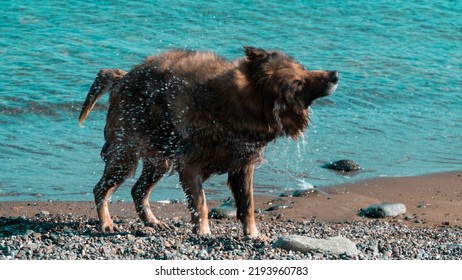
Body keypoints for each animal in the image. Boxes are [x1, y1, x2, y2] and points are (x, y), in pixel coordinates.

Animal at [78, 46, 340, 236]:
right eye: (298, 83)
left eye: (303, 68)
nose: (335, 75)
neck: (242, 105)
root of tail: (123, 77)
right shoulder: (189, 163)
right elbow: (201, 203)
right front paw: (203, 232)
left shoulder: (243, 164)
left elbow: (248, 205)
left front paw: (253, 235)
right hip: (126, 152)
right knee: (102, 188)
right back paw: (106, 222)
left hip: (159, 157)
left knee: (137, 190)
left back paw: (153, 222)